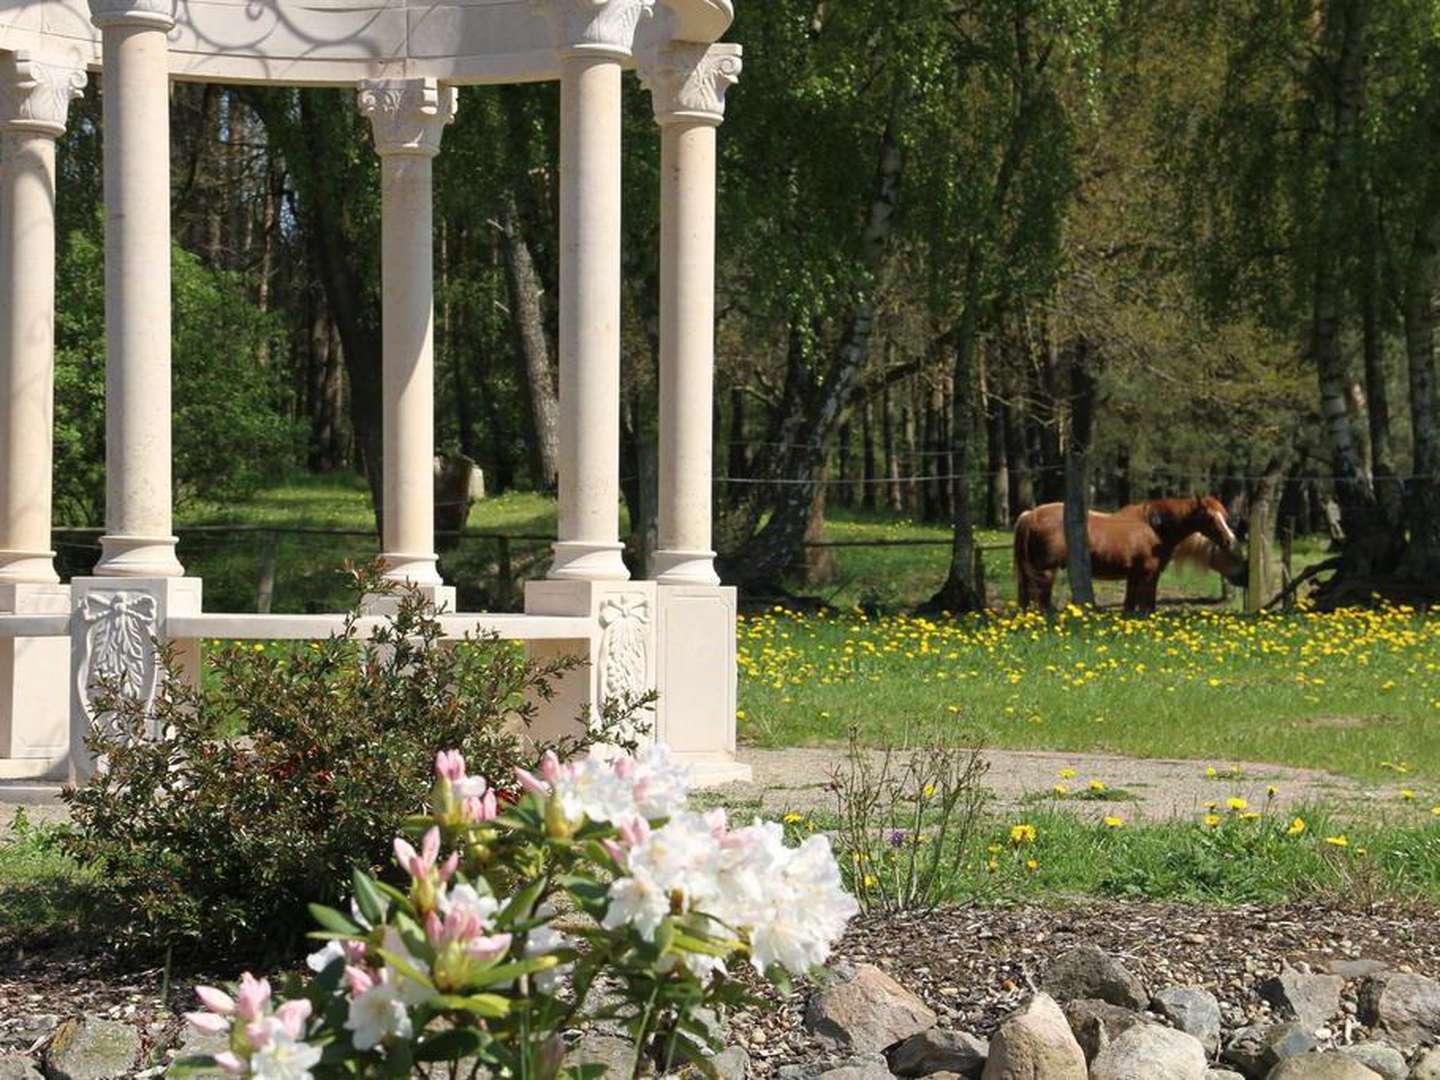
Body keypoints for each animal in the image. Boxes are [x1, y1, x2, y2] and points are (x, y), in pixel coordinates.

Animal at [1013, 498, 1238, 613]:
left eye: (1225, 516)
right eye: (1210, 517)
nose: (1230, 540)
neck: (1154, 527)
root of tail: (1030, 515)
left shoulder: (1134, 575)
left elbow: (1129, 605)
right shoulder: (1149, 574)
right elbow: (1147, 604)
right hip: (1045, 572)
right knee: (1042, 601)